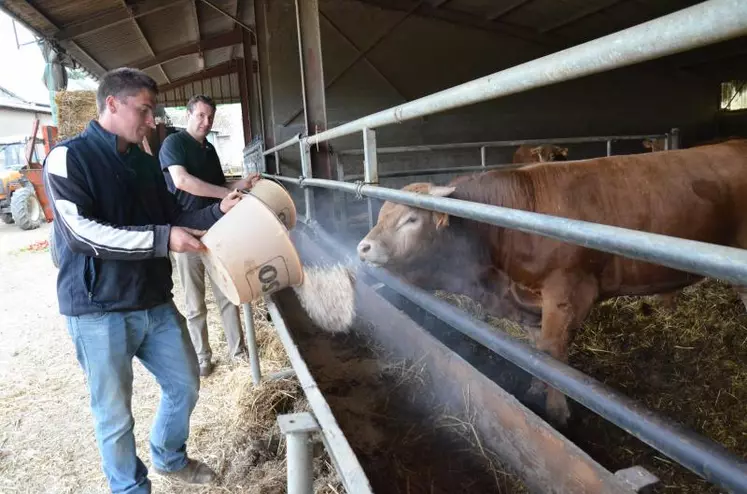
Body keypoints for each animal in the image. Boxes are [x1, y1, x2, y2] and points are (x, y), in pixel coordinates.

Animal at [356, 139, 747, 424]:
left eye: (410, 219)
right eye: (382, 212)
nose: (363, 246)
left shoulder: (568, 292)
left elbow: (553, 355)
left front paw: (557, 410)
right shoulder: (529, 301)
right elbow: (535, 351)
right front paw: (534, 389)